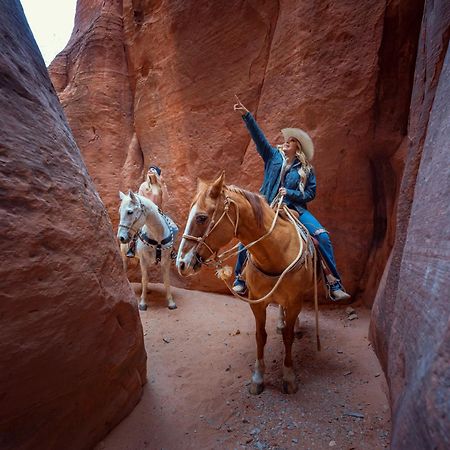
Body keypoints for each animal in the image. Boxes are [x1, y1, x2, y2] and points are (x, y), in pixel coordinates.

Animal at [174, 172, 318, 394]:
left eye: (201, 217)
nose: (181, 264)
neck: (277, 253)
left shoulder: (294, 301)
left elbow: (288, 338)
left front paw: (288, 376)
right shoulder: (257, 302)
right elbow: (260, 336)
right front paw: (258, 378)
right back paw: (281, 323)